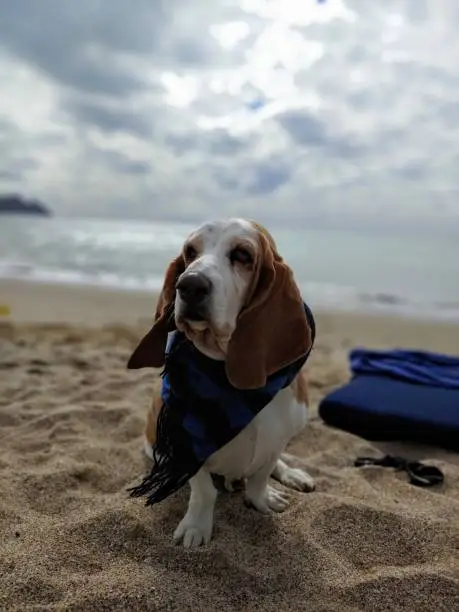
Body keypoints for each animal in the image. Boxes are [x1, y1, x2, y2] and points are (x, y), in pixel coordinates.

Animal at [127, 218, 318, 548]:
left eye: (242, 255)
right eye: (190, 252)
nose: (189, 285)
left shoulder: (278, 438)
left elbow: (261, 476)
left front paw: (263, 499)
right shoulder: (187, 448)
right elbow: (204, 491)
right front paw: (196, 527)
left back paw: (293, 474)